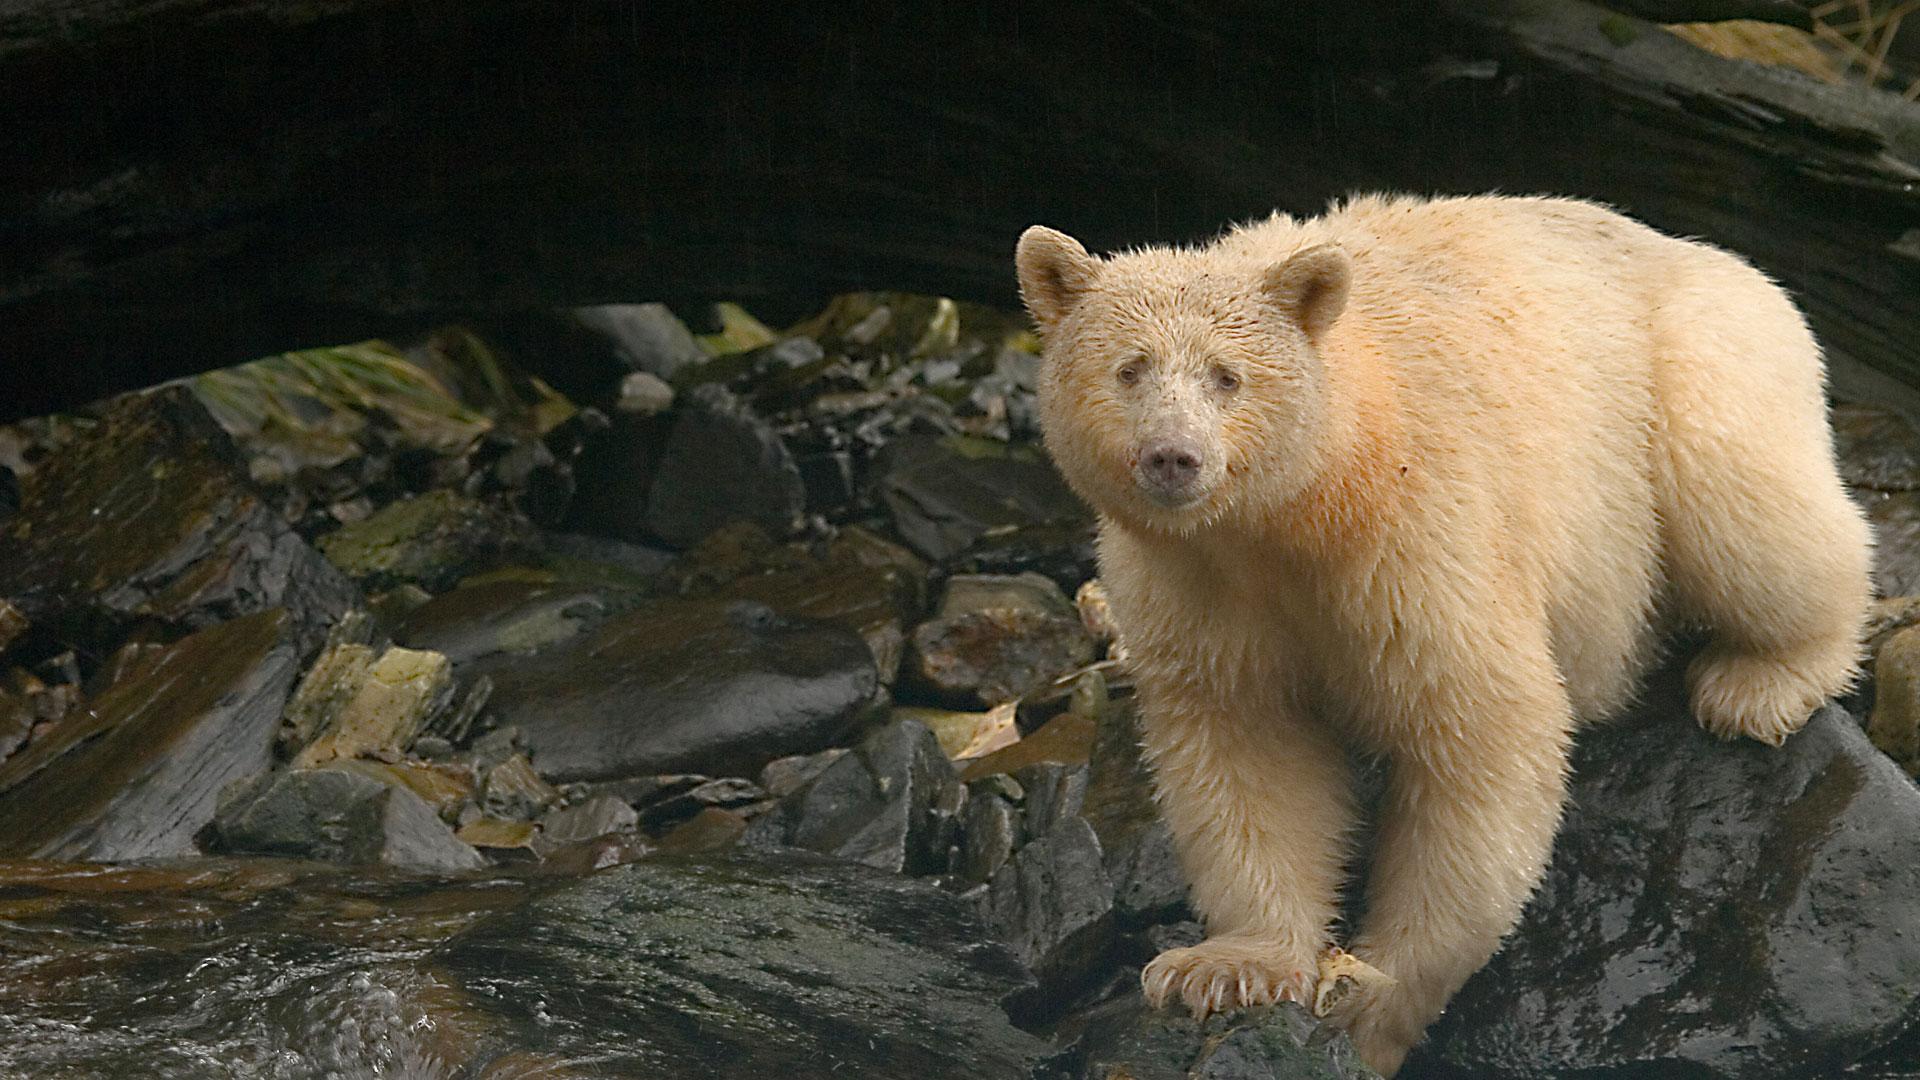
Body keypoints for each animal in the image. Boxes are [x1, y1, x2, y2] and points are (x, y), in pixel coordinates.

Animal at [1013, 193, 1873, 1076]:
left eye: (1228, 375)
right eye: (1129, 368)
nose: (1172, 457)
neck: (1310, 503)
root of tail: (1712, 258)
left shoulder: (1421, 534)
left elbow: (1482, 731)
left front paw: (1373, 1000)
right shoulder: (1196, 588)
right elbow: (1246, 745)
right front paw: (1229, 967)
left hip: (1690, 372)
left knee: (1739, 503)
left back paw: (1762, 680)